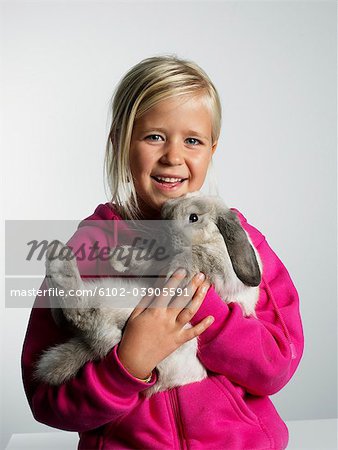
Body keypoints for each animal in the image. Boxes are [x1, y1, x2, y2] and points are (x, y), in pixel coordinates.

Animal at [35, 192, 262, 398]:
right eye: (164, 214)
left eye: (193, 218)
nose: (162, 235)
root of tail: (93, 345)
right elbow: (148, 260)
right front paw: (120, 258)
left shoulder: (219, 268)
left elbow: (194, 255)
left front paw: (176, 272)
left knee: (81, 313)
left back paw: (58, 258)